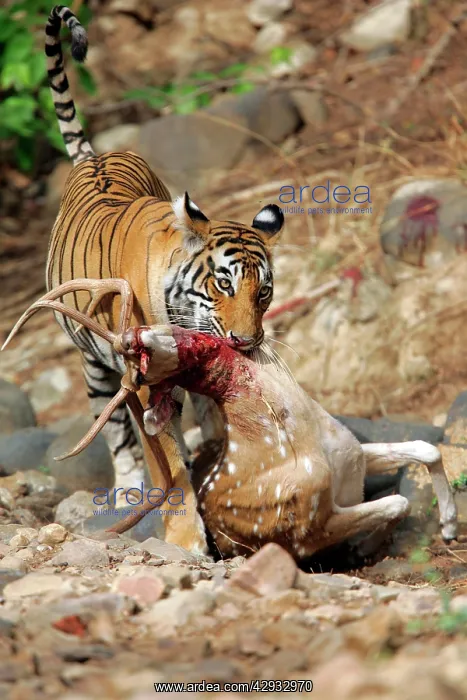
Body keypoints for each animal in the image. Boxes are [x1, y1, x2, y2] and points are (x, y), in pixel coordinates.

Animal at [3, 278, 458, 560]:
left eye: (143, 360)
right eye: (144, 373)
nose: (128, 339)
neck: (299, 433)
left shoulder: (354, 453)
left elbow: (426, 448)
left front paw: (450, 526)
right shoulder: (308, 527)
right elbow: (398, 501)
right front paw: (365, 548)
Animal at [44, 5, 284, 552]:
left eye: (263, 292)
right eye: (223, 284)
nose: (247, 342)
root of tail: (94, 155)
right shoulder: (142, 383)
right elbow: (166, 461)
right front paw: (188, 539)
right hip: (95, 370)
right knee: (115, 435)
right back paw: (126, 487)